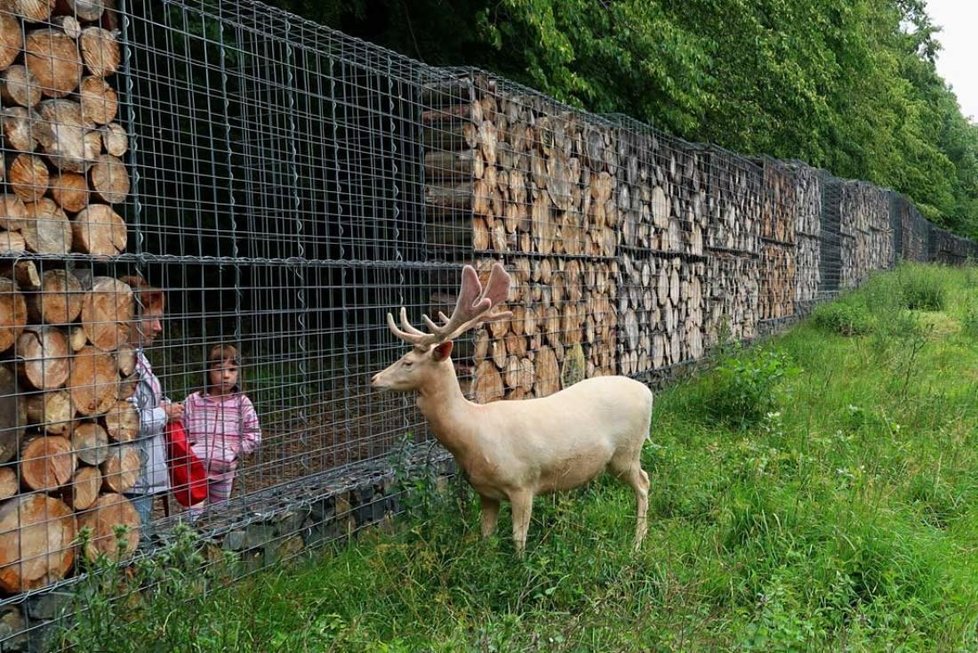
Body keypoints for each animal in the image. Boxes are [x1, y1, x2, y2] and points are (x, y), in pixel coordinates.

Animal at [370, 262, 652, 552]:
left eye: (408, 362)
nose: (374, 379)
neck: (472, 433)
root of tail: (647, 393)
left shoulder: (523, 483)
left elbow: (519, 541)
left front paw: (521, 562)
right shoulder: (485, 492)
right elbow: (486, 536)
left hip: (627, 450)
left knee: (644, 482)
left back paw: (637, 542)